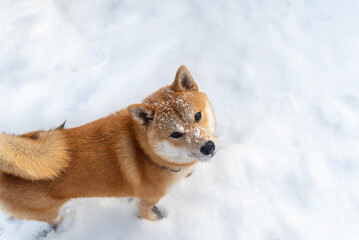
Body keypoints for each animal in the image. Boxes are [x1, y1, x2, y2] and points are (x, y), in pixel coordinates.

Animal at [0, 65, 217, 227]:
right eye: (176, 134)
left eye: (197, 116)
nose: (208, 148)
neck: (146, 152)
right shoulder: (148, 199)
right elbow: (144, 214)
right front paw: (155, 220)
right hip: (49, 211)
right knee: (52, 220)